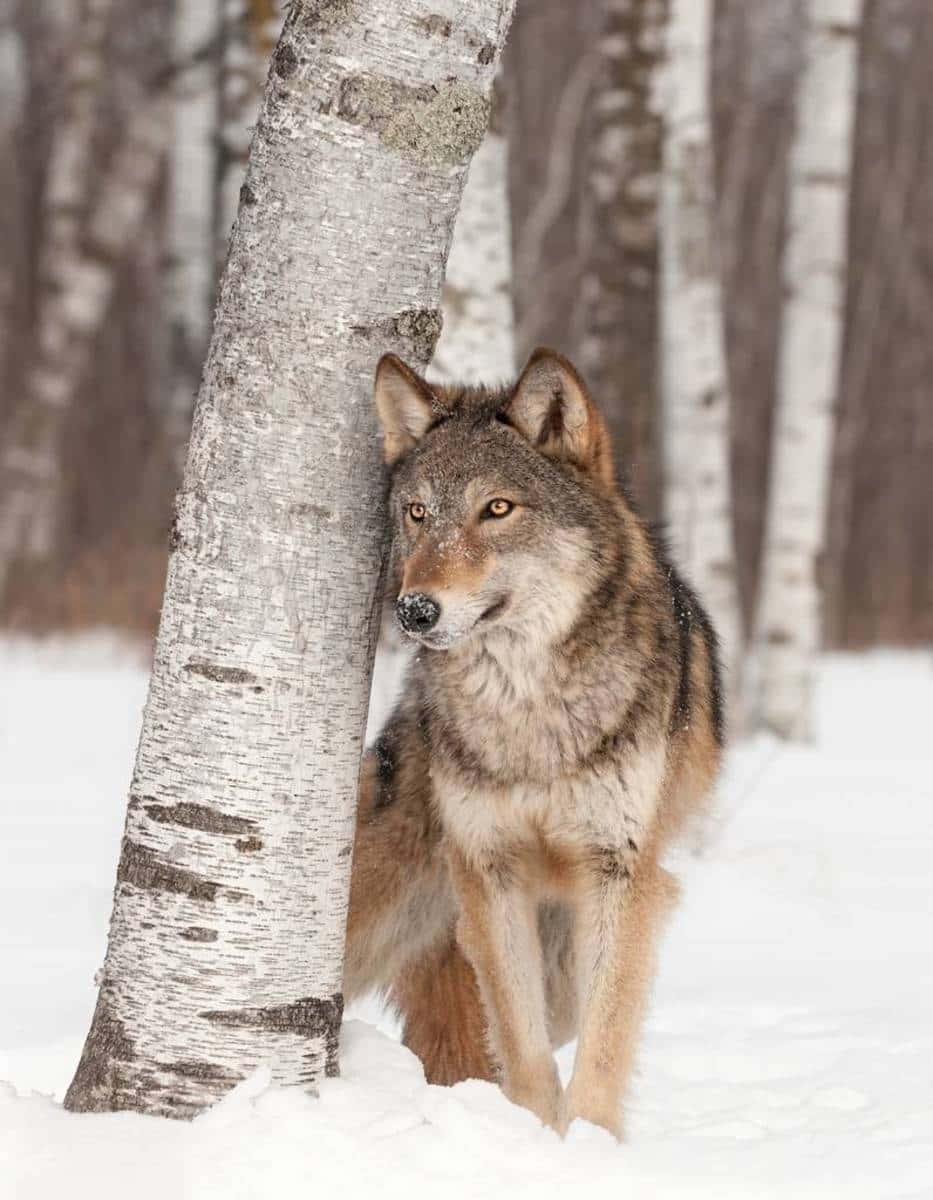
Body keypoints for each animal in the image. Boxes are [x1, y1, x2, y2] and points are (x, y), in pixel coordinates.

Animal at [342, 348, 724, 1138]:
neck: (527, 712)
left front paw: (589, 1145)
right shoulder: (490, 870)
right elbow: (520, 1047)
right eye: (416, 513)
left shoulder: (621, 875)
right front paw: (533, 1135)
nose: (415, 609)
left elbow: (604, 1047)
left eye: (497, 509)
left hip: (564, 954)